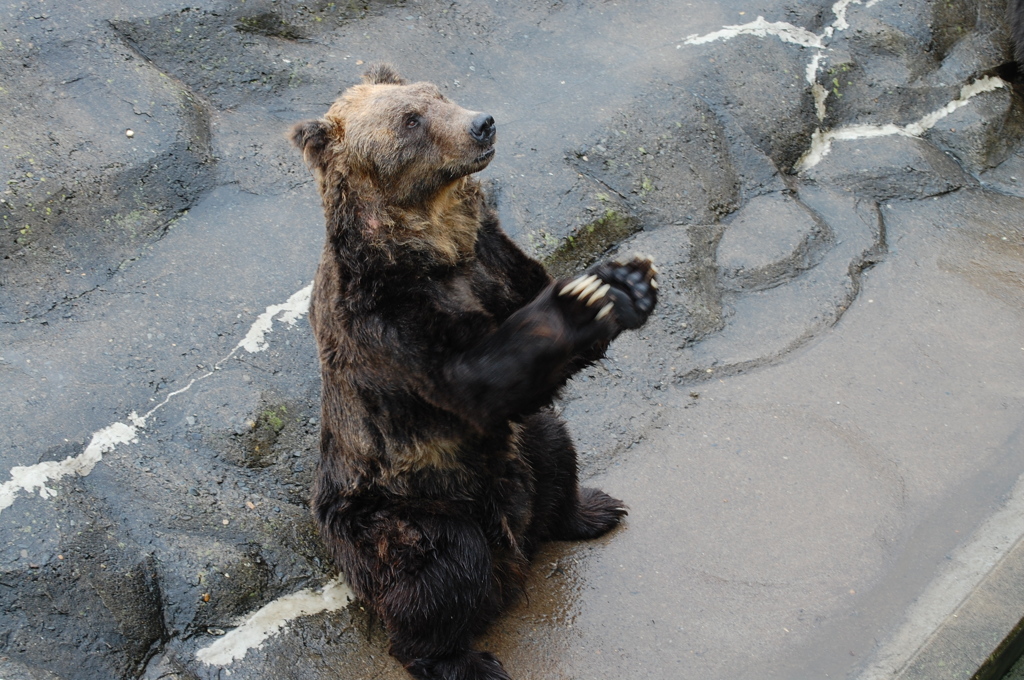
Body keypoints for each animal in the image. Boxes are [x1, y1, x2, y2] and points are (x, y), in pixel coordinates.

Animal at [290, 65, 655, 680]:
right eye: (411, 120)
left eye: (437, 93)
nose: (482, 123)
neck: (437, 247)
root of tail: (514, 549)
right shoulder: (386, 314)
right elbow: (472, 380)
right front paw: (578, 303)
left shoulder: (489, 257)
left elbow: (530, 311)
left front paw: (623, 284)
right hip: (398, 513)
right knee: (442, 569)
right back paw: (462, 659)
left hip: (517, 451)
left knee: (554, 446)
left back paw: (591, 509)